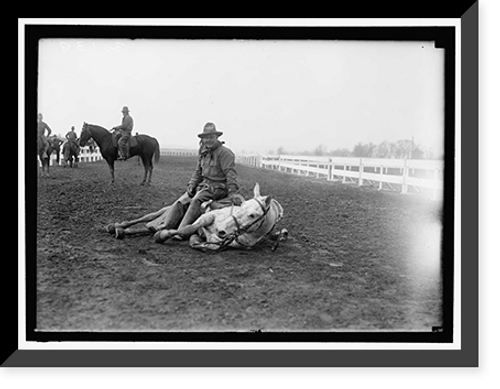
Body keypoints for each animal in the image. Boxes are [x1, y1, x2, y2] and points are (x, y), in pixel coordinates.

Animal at [105, 183, 288, 252]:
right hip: (160, 212)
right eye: (241, 207)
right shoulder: (207, 217)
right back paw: (117, 226)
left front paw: (196, 241)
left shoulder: (219, 242)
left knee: (146, 227)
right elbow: (187, 228)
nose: (221, 230)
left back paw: (121, 231)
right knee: (143, 220)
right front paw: (162, 236)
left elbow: (203, 244)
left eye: (252, 215)